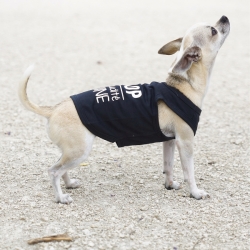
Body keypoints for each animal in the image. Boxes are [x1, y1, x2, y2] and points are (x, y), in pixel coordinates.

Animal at [19, 15, 230, 204]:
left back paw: (69, 184)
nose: (224, 17)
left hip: (71, 152)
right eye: (213, 30)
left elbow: (168, 166)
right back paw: (60, 197)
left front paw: (169, 184)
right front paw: (195, 192)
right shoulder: (185, 143)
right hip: (79, 152)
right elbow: (189, 173)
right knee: (54, 171)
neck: (183, 86)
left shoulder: (169, 141)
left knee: (61, 168)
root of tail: (53, 109)